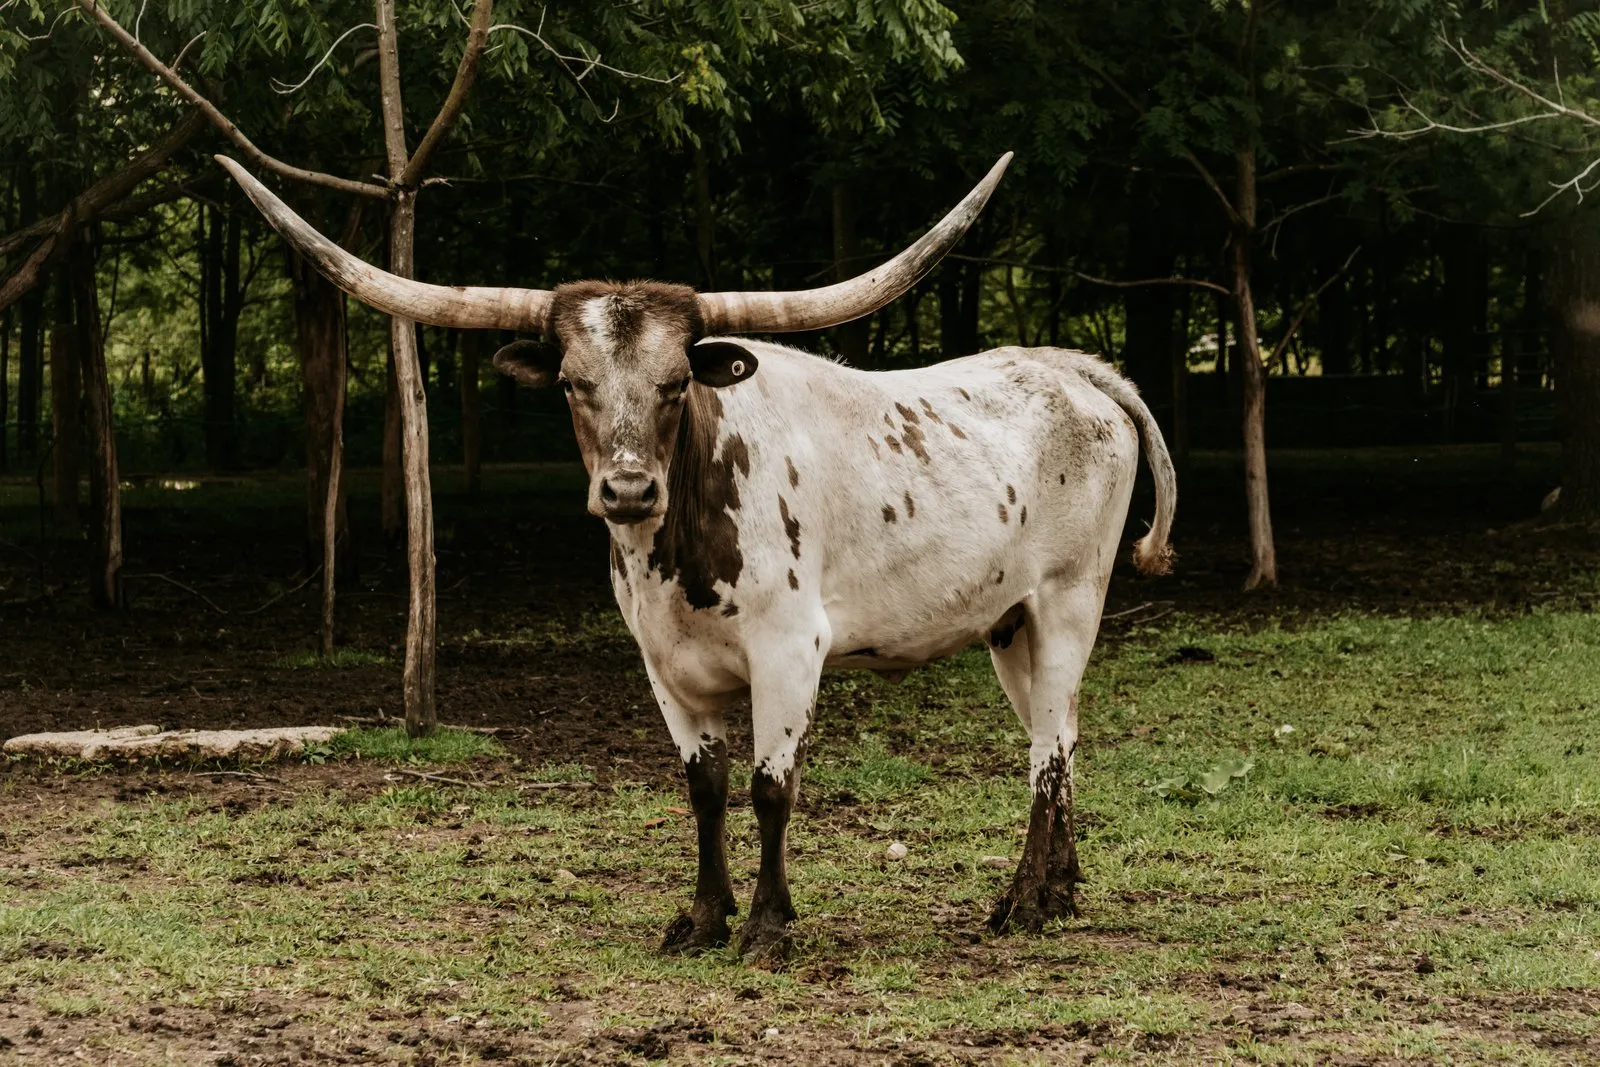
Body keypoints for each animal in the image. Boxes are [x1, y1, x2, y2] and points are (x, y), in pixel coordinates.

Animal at [218, 152, 1176, 960]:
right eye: (573, 383)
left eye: (677, 382)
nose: (627, 490)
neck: (675, 545)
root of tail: (1074, 371)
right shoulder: (665, 665)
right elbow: (705, 787)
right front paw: (706, 916)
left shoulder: (791, 650)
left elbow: (769, 786)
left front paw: (767, 926)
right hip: (1010, 622)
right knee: (1061, 732)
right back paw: (1060, 888)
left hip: (1069, 601)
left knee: (1046, 742)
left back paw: (1027, 901)